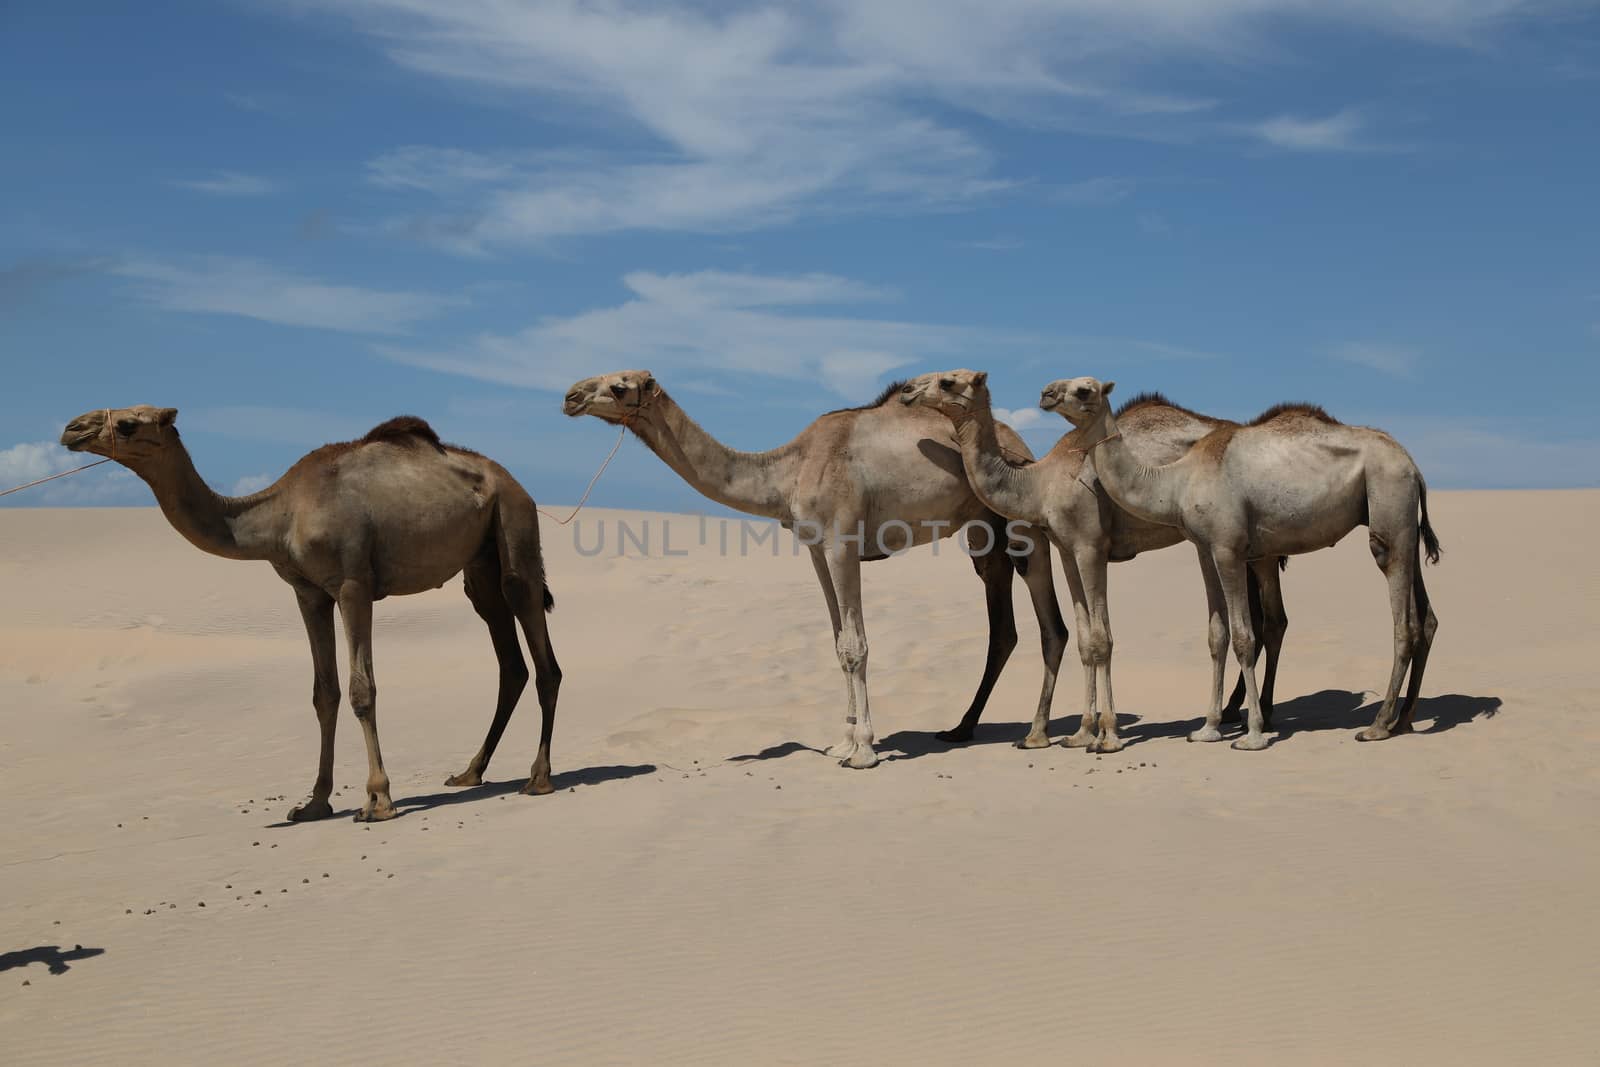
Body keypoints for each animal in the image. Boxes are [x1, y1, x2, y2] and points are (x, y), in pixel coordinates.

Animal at [60, 404, 563, 825]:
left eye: (129, 423)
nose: (72, 428)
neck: (281, 515)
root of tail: (517, 484)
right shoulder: (308, 594)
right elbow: (325, 693)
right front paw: (314, 803)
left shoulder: (353, 585)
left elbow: (362, 689)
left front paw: (377, 801)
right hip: (479, 561)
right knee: (508, 658)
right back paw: (469, 773)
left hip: (514, 523)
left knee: (540, 650)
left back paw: (538, 777)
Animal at [566, 371, 1075, 764]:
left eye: (618, 386)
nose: (571, 395)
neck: (788, 471)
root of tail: (1021, 444)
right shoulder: (814, 548)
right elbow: (836, 642)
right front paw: (841, 742)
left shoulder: (841, 541)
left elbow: (856, 645)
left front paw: (864, 750)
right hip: (982, 533)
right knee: (1002, 627)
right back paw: (961, 728)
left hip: (1020, 525)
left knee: (1051, 623)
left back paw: (1035, 734)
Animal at [902, 371, 1286, 755]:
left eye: (948, 381)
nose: (906, 390)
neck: (1039, 484)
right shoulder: (1066, 549)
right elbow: (1085, 640)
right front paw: (1082, 732)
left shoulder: (1091, 546)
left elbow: (1102, 639)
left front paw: (1109, 735)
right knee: (1267, 618)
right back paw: (1237, 711)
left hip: (1249, 541)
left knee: (1270, 620)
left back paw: (1260, 718)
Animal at [1062, 377, 1440, 751]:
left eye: (1083, 390)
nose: (1049, 394)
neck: (1177, 480)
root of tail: (1413, 465)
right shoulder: (1205, 549)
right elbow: (1218, 634)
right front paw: (1207, 728)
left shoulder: (1228, 548)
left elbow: (1243, 635)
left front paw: (1253, 734)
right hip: (1403, 521)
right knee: (1425, 618)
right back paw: (1403, 720)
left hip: (1388, 496)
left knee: (1401, 616)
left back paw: (1377, 725)